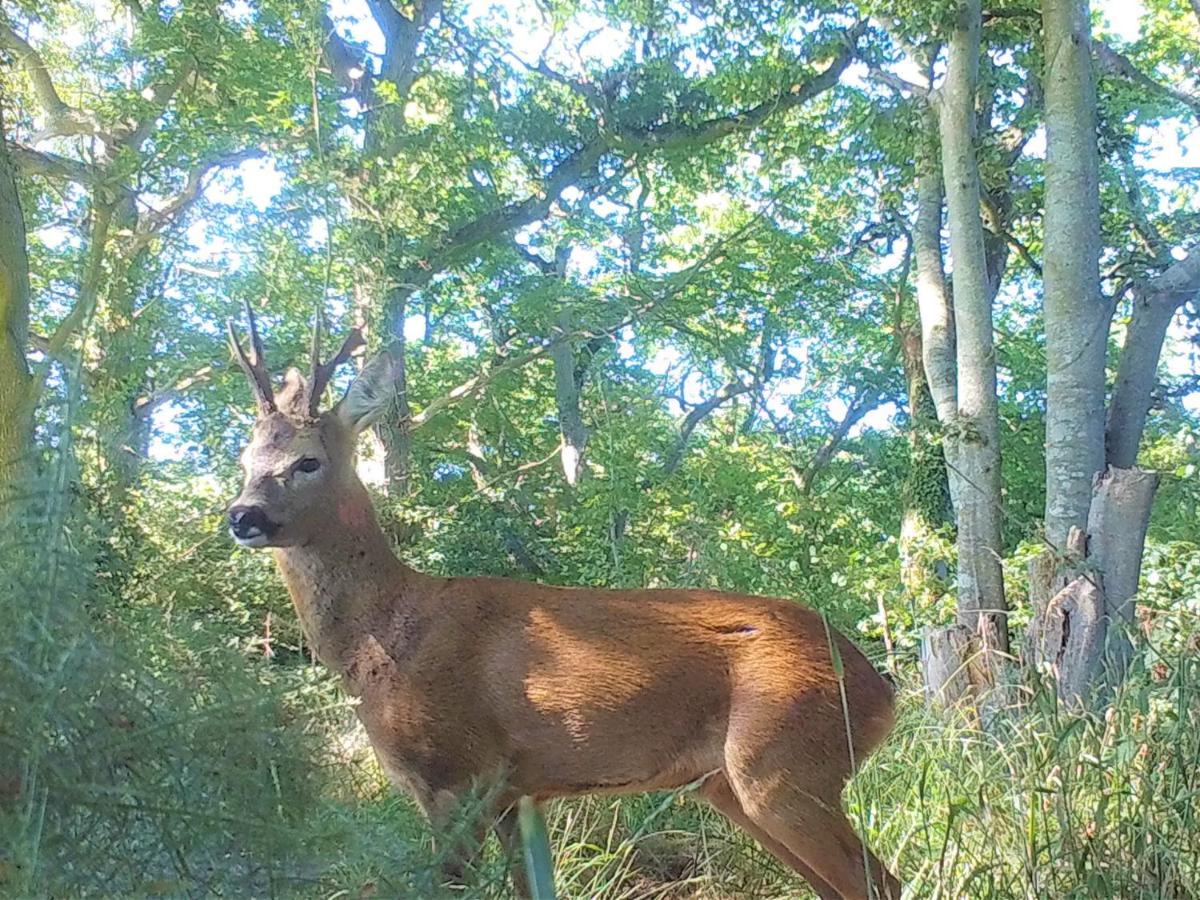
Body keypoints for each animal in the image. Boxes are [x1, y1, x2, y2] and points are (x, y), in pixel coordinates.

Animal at [226, 307, 902, 897]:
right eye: (244, 459)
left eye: (308, 461)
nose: (241, 515)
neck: (384, 638)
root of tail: (880, 689)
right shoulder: (516, 795)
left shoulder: (454, 775)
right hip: (729, 785)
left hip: (784, 763)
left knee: (878, 883)